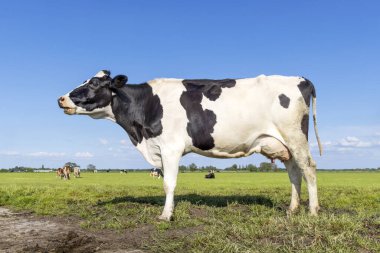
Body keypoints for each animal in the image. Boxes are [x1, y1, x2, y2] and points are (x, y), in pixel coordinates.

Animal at [58, 70, 322, 220]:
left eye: (94, 83)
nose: (61, 98)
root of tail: (301, 79)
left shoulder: (170, 147)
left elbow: (168, 184)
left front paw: (165, 215)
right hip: (284, 143)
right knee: (294, 172)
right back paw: (292, 209)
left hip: (295, 136)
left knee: (308, 168)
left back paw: (312, 210)